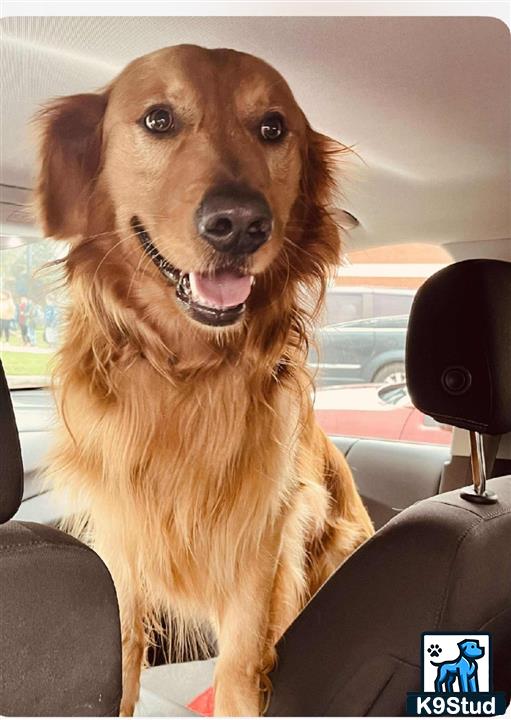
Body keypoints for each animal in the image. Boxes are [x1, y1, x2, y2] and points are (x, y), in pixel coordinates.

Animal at [35, 43, 372, 716]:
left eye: (272, 128)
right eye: (159, 119)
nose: (239, 224)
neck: (185, 373)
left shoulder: (262, 539)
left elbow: (239, 669)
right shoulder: (122, 537)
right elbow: (120, 650)